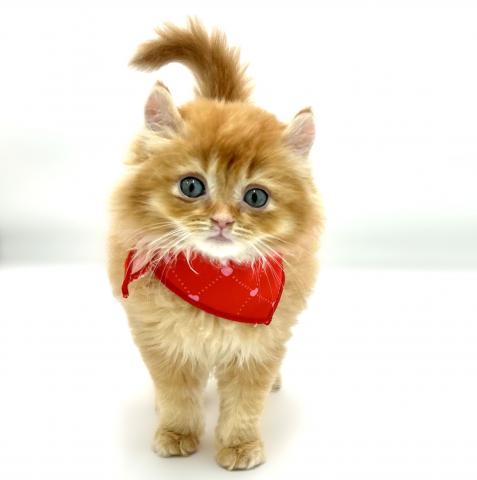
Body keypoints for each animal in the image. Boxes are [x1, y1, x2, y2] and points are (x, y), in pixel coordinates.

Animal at [107, 19, 323, 470]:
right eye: (192, 186)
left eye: (256, 197)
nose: (223, 221)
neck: (215, 281)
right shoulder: (161, 340)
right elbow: (177, 397)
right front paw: (176, 434)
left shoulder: (258, 347)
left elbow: (244, 405)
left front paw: (240, 447)